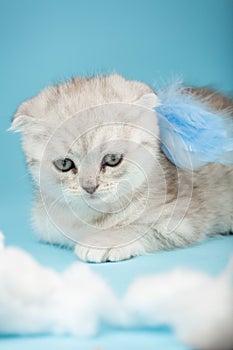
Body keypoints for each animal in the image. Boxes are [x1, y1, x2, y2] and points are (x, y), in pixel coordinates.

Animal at [10, 74, 233, 262]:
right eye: (64, 164)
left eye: (112, 159)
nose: (90, 187)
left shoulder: (182, 215)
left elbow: (139, 227)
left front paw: (102, 241)